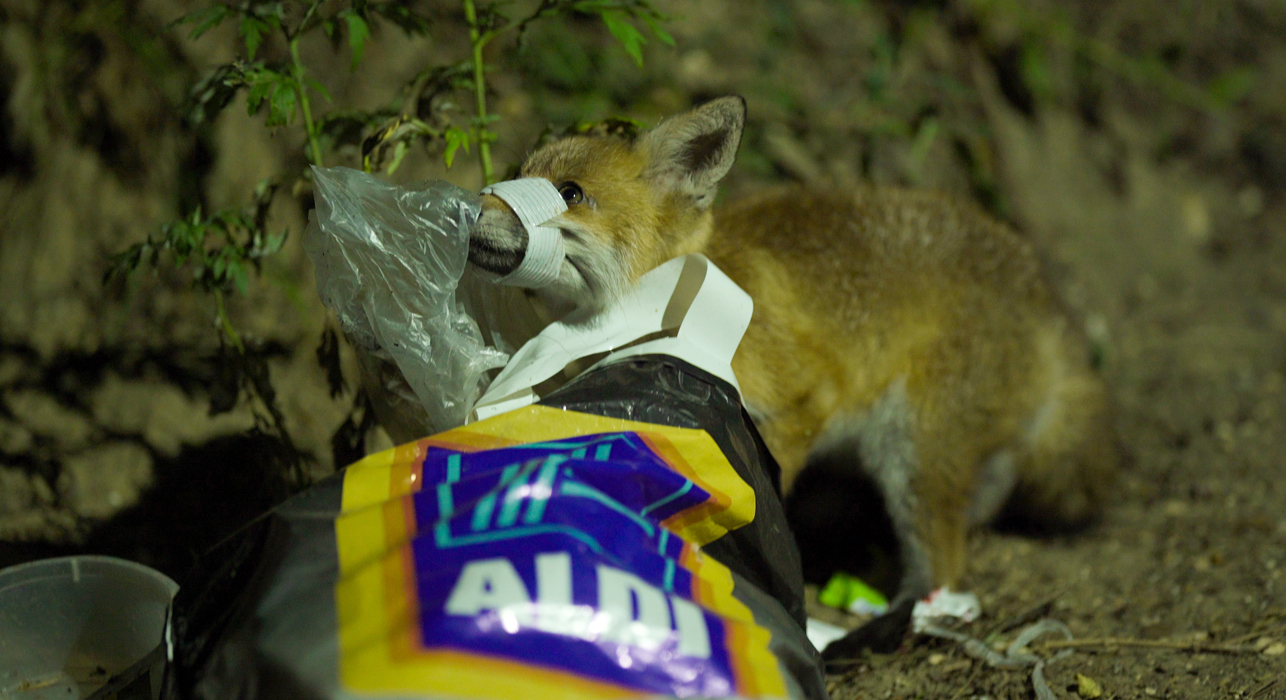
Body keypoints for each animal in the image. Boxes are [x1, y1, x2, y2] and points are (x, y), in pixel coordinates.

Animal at [459, 96, 1116, 631]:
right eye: (518, 174)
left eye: (570, 193)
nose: (468, 208)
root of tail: (1043, 290)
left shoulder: (803, 400)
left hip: (917, 455)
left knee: (947, 566)